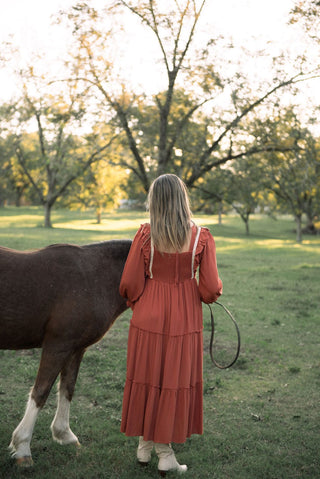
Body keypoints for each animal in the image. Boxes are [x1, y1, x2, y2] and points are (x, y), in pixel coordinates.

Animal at [0, 242, 131, 466]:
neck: (95, 276)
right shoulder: (57, 345)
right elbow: (41, 392)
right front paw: (23, 447)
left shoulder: (76, 348)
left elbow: (67, 388)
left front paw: (64, 434)